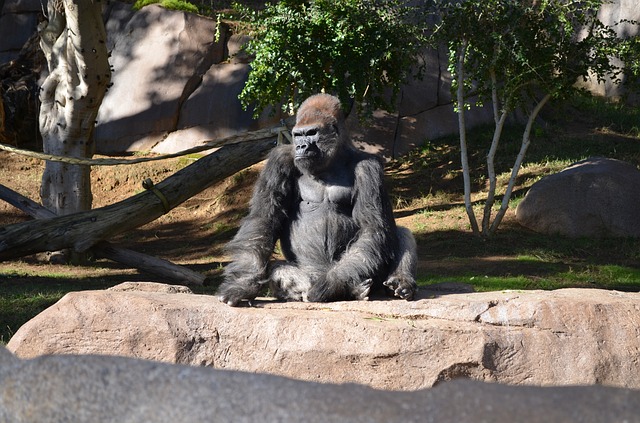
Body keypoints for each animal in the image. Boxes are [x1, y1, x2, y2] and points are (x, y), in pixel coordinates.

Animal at [219, 93, 420, 306]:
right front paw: (242, 284)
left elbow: (373, 227)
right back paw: (348, 289)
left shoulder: (368, 167)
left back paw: (399, 283)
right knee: (279, 270)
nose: (301, 146)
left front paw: (331, 284)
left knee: (396, 234)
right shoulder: (279, 160)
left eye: (312, 132)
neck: (331, 161)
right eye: (298, 135)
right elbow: (263, 219)